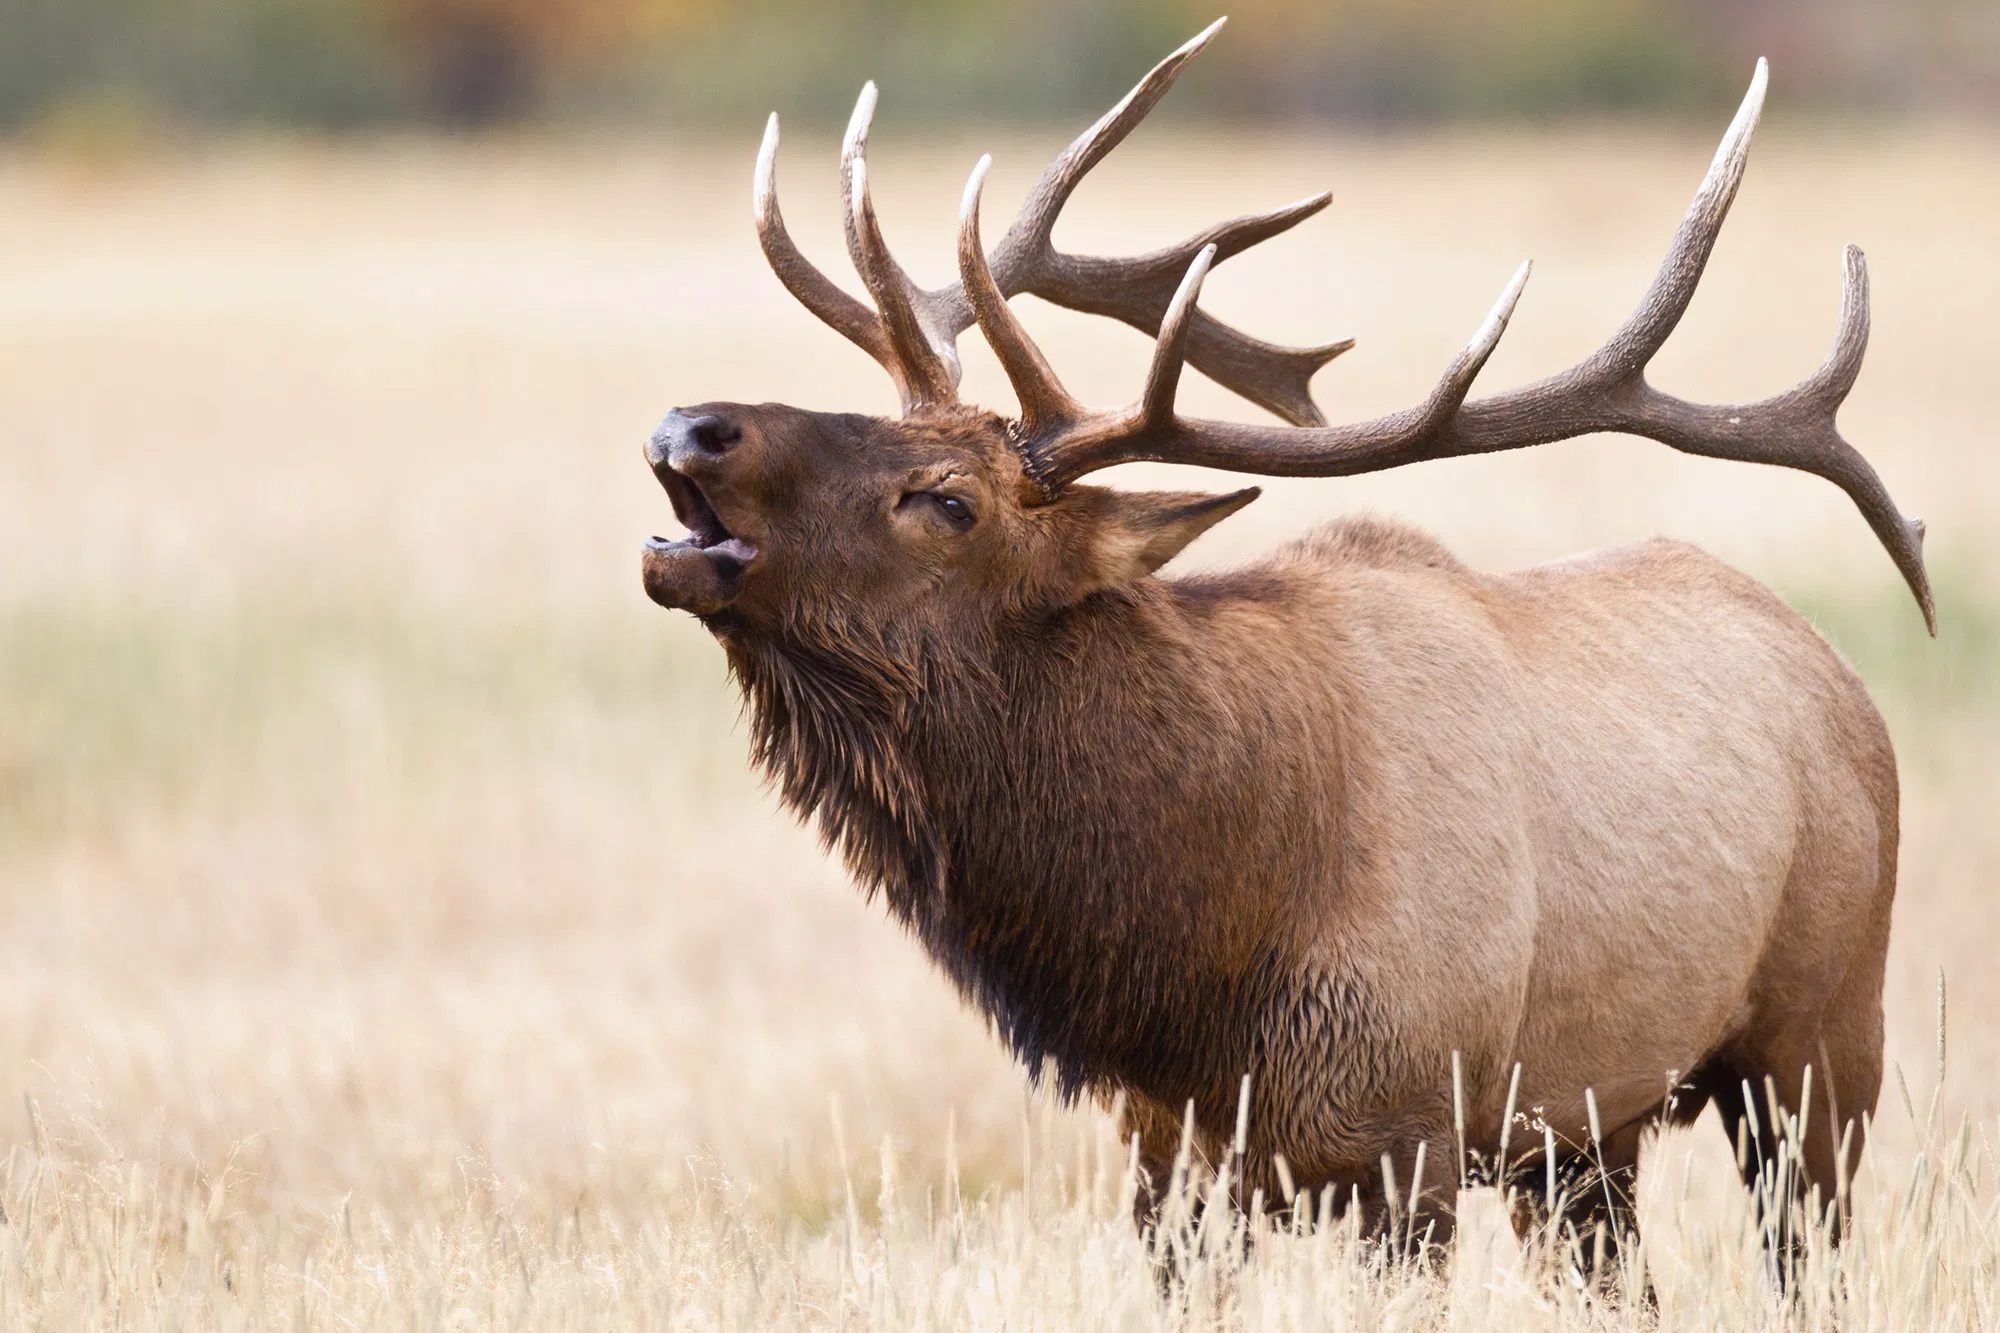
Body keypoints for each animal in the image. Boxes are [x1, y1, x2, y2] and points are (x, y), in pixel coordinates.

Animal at [636, 18, 1920, 1264]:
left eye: (948, 500)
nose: (690, 424)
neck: (1196, 962)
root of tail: (1840, 679)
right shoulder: (1166, 1157)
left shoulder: (1411, 1134)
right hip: (1585, 1133)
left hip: (1821, 1042)